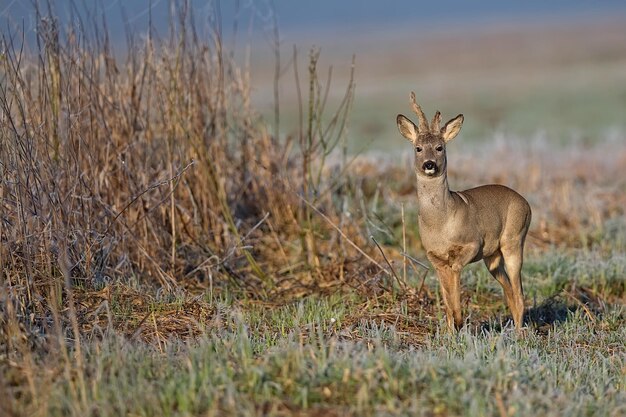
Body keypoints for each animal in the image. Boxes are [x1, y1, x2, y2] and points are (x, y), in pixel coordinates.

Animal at [398, 92, 528, 330]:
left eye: (440, 147)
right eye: (418, 148)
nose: (429, 164)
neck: (441, 222)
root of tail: (526, 203)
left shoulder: (472, 243)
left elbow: (456, 271)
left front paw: (459, 320)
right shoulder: (434, 257)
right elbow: (445, 297)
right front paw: (451, 329)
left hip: (514, 240)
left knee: (520, 292)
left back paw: (520, 333)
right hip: (492, 257)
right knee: (509, 290)